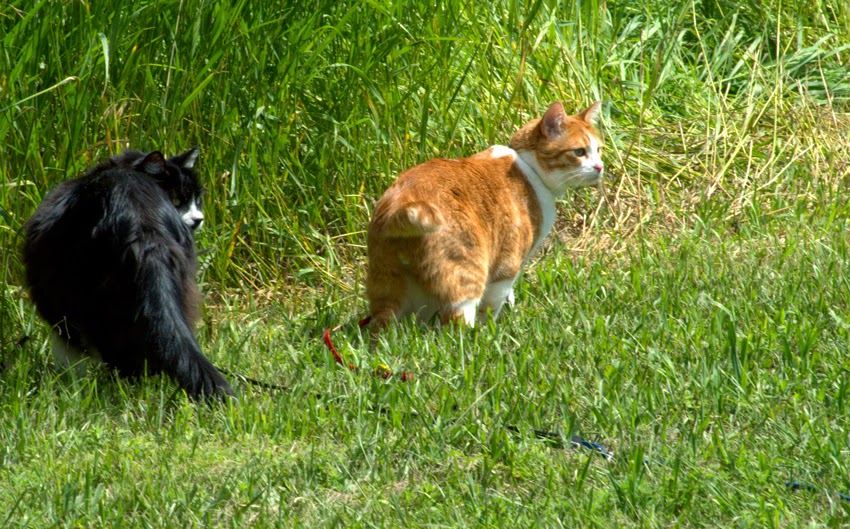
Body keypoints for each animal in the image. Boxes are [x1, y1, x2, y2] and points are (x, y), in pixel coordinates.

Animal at [366, 101, 603, 330]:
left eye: (599, 150)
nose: (600, 166)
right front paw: (490, 327)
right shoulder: (506, 268)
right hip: (467, 273)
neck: (528, 168)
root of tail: (402, 203)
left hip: (387, 284)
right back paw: (477, 337)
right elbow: (492, 305)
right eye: (579, 152)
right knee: (458, 324)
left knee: (382, 325)